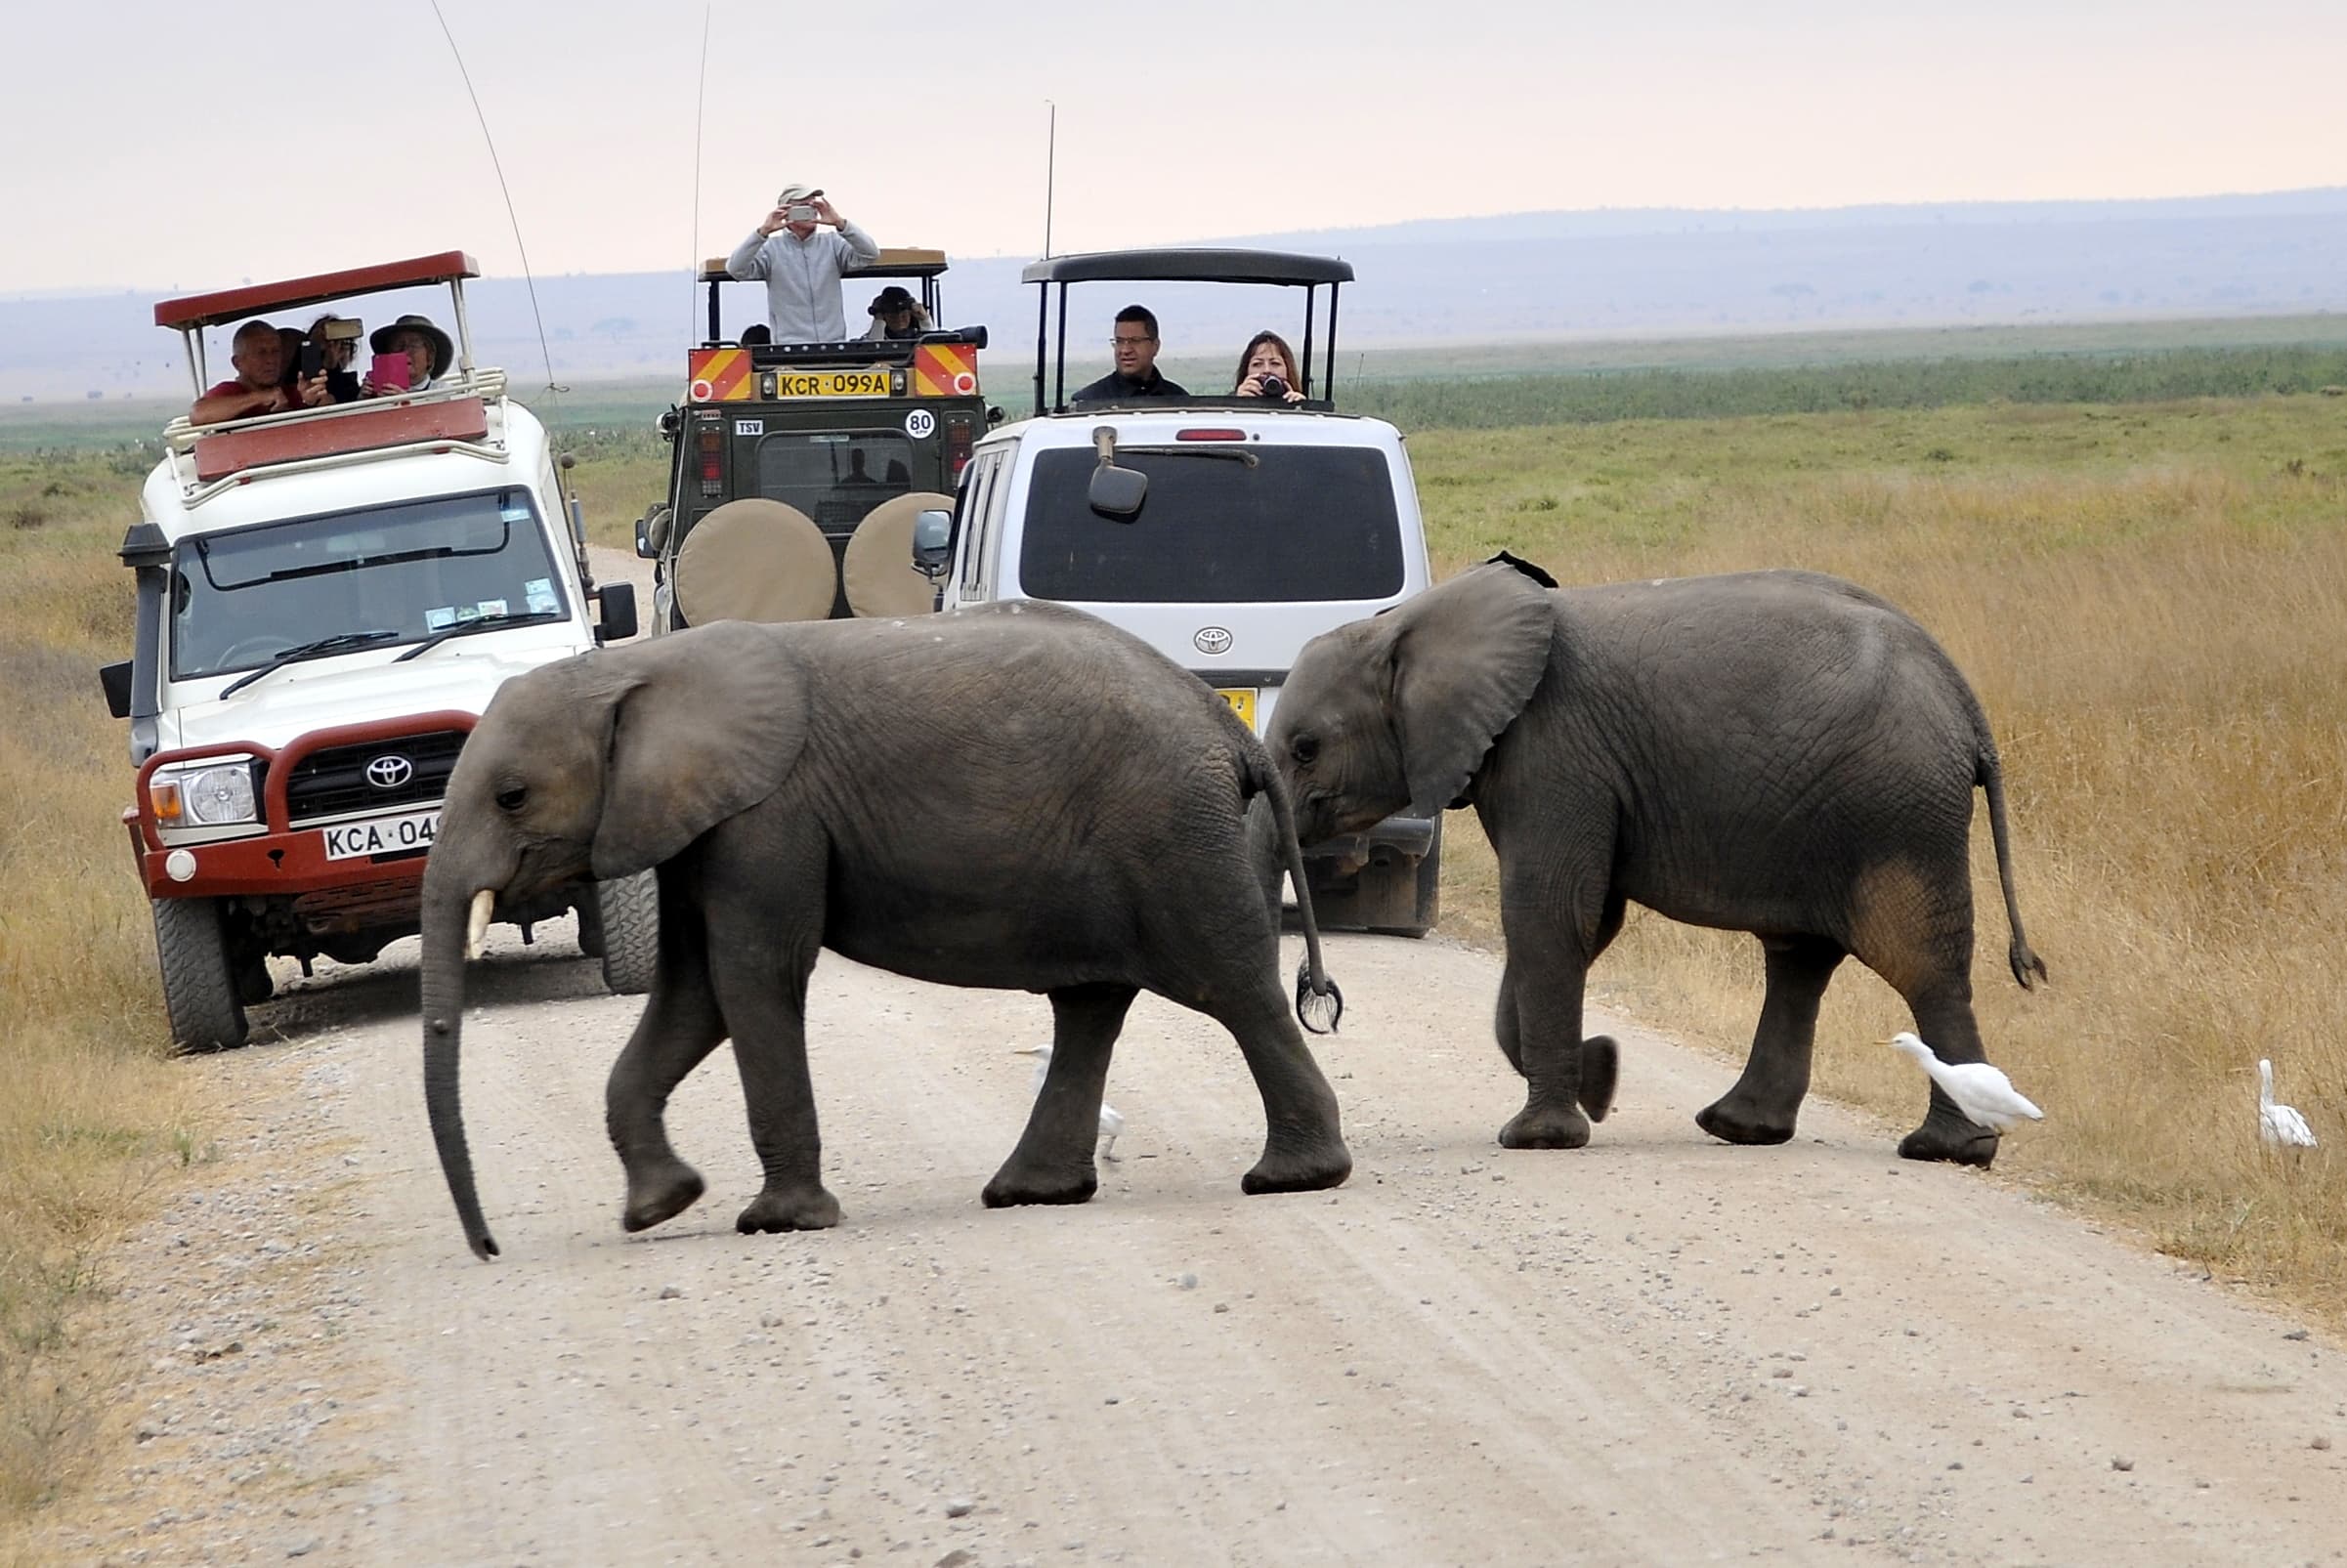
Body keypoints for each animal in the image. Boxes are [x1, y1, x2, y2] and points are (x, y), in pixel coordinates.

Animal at [412, 601, 1351, 1257]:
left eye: (511, 796)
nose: (488, 1248)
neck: (634, 668)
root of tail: (1229, 726)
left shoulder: (769, 816)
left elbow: (753, 975)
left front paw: (779, 1222)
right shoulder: (694, 826)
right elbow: (694, 993)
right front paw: (659, 1206)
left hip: (1170, 833)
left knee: (1232, 986)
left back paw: (1295, 1177)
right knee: (1090, 1005)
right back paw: (1030, 1192)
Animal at [1258, 561, 2046, 1164]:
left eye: (1305, 748)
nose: (1318, 994)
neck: (1405, 624)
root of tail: (1968, 707)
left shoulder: (1553, 750)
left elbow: (1549, 914)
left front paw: (1540, 1135)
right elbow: (1582, 918)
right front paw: (1599, 1076)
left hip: (1896, 812)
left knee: (1919, 962)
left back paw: (1945, 1149)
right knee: (1800, 959)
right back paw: (1741, 1127)